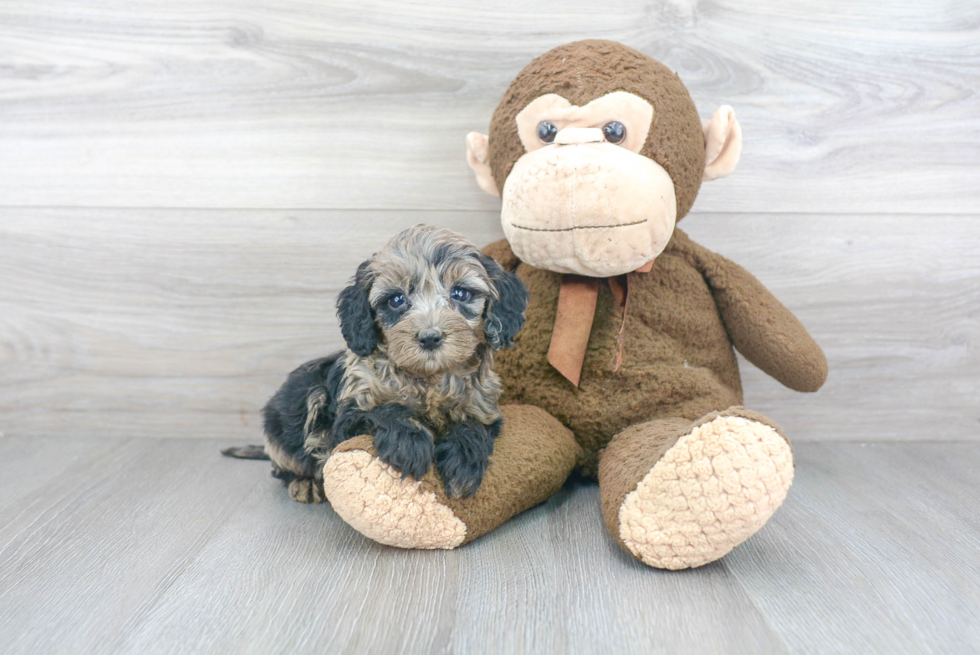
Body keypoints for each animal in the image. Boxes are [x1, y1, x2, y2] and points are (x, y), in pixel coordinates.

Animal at [253, 226, 528, 502]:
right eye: (396, 299)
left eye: (460, 293)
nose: (430, 337)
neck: (429, 378)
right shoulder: (349, 412)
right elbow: (383, 411)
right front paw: (408, 446)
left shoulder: (483, 405)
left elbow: (473, 426)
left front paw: (462, 464)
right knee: (284, 463)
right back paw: (304, 482)